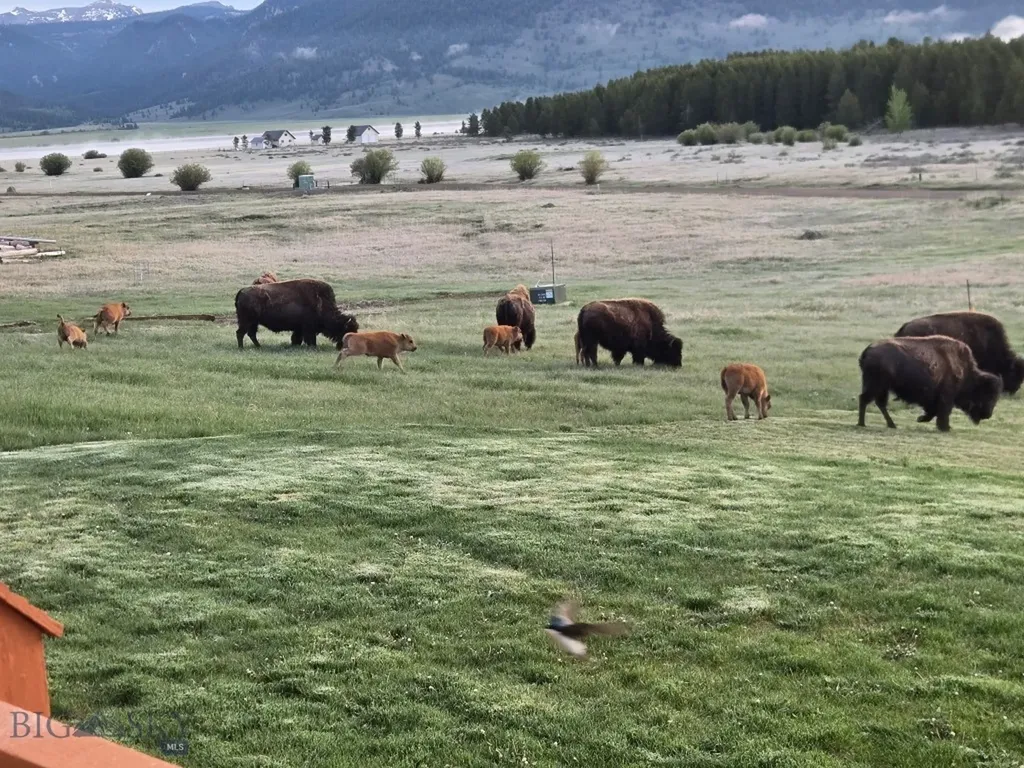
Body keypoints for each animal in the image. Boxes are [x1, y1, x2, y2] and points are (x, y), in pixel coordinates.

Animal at [857, 335, 1002, 431]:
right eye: (987, 394)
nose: (988, 414)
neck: (966, 371)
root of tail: (868, 350)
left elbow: (933, 411)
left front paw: (921, 419)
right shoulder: (946, 397)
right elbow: (943, 412)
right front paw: (945, 427)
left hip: (881, 387)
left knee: (878, 403)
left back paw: (890, 424)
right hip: (876, 385)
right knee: (866, 399)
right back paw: (863, 423)